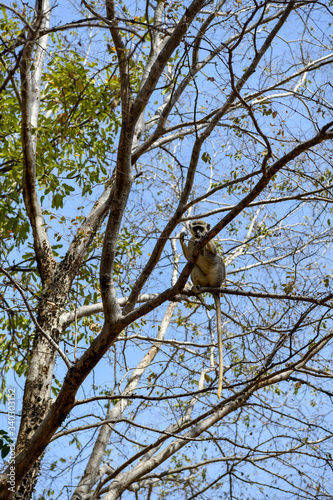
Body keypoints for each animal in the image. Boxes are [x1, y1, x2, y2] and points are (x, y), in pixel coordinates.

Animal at [179, 220, 226, 398]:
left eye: (201, 227)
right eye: (195, 228)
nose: (199, 233)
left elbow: (215, 252)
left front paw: (205, 239)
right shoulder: (192, 243)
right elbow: (188, 257)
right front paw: (181, 237)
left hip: (217, 276)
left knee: (217, 260)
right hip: (203, 280)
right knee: (192, 266)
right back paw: (196, 289)